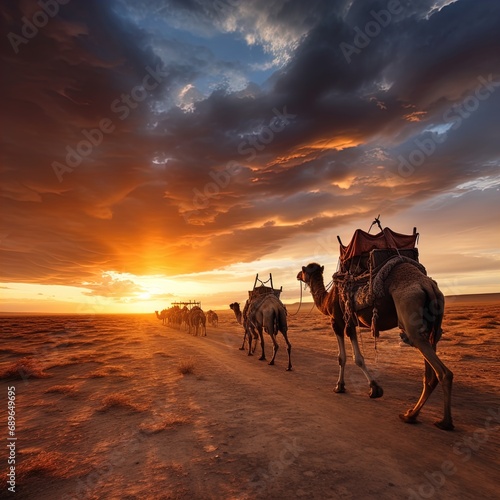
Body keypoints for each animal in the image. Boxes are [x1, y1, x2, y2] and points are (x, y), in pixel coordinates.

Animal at [296, 262, 454, 430]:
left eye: (304, 270)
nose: (298, 275)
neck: (327, 300)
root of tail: (427, 285)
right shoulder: (350, 322)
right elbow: (354, 357)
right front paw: (370, 388)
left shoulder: (338, 321)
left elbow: (346, 358)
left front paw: (344, 386)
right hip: (432, 324)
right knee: (430, 370)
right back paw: (411, 415)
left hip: (409, 307)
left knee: (442, 371)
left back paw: (444, 422)